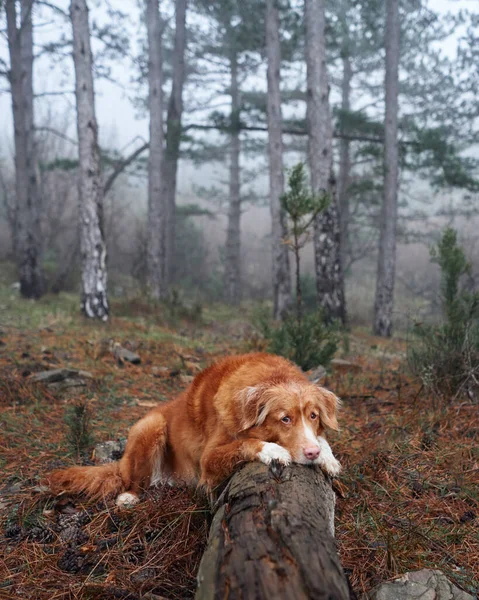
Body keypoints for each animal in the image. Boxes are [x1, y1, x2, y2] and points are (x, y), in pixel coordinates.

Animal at [47, 352, 344, 506]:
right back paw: (129, 497)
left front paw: (328, 458)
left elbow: (322, 439)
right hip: (150, 426)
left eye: (314, 415)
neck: (270, 376)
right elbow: (244, 443)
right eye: (285, 419)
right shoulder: (208, 460)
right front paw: (274, 450)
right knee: (134, 481)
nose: (311, 454)